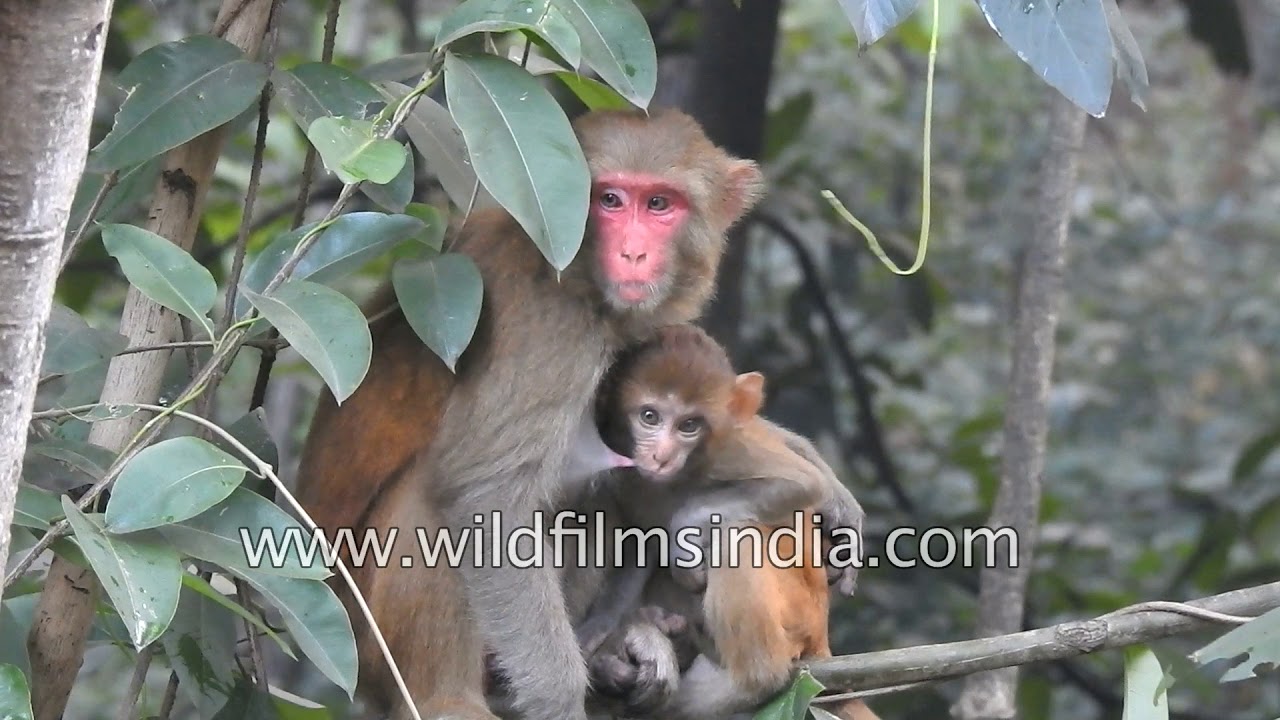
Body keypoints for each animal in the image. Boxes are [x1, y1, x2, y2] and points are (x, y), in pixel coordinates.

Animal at [293, 108, 865, 720]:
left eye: (659, 204)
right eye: (610, 199)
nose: (633, 254)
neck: (579, 275)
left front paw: (827, 486)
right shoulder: (551, 323)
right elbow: (489, 496)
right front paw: (558, 698)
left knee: (598, 498)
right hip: (373, 645)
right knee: (447, 495)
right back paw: (452, 697)